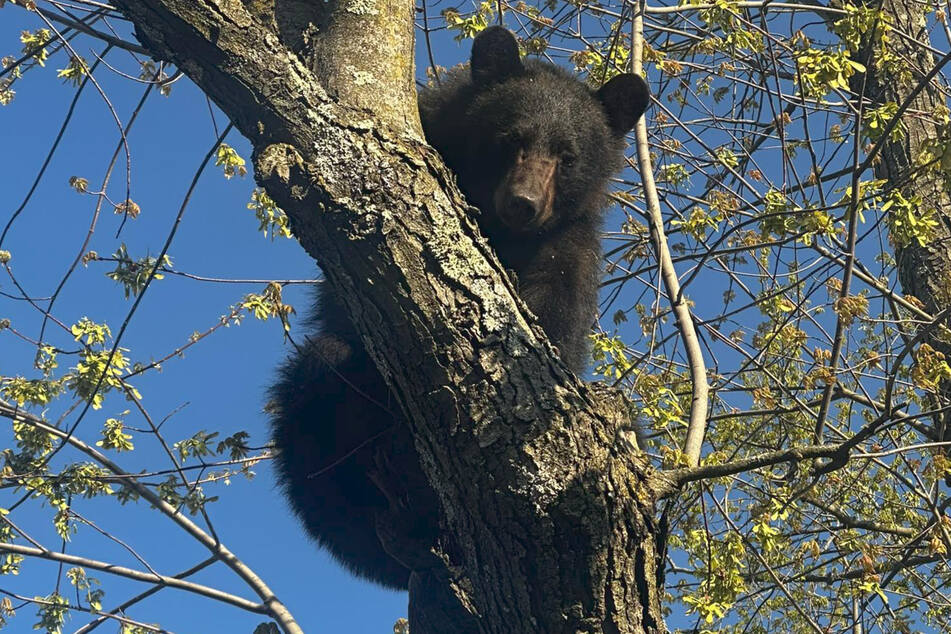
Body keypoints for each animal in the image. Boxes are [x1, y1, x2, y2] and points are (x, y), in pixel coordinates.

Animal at [269, 26, 650, 590]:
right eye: (511, 138)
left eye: (567, 155)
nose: (523, 203)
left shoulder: (570, 249)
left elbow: (555, 324)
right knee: (317, 386)